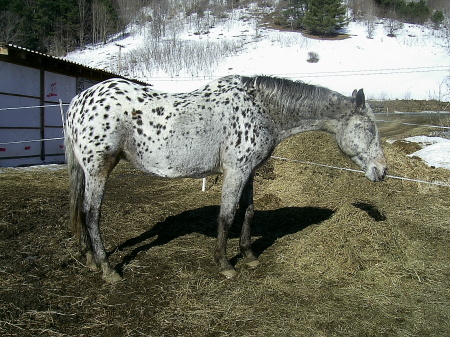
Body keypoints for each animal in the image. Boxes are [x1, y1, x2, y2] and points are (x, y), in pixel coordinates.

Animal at [64, 75, 386, 282]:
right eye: (369, 128)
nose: (381, 171)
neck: (261, 109)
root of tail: (78, 102)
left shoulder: (249, 171)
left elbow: (248, 211)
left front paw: (249, 255)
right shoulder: (236, 170)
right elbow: (227, 215)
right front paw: (224, 264)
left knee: (81, 212)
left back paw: (90, 260)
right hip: (98, 168)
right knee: (91, 214)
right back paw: (108, 270)